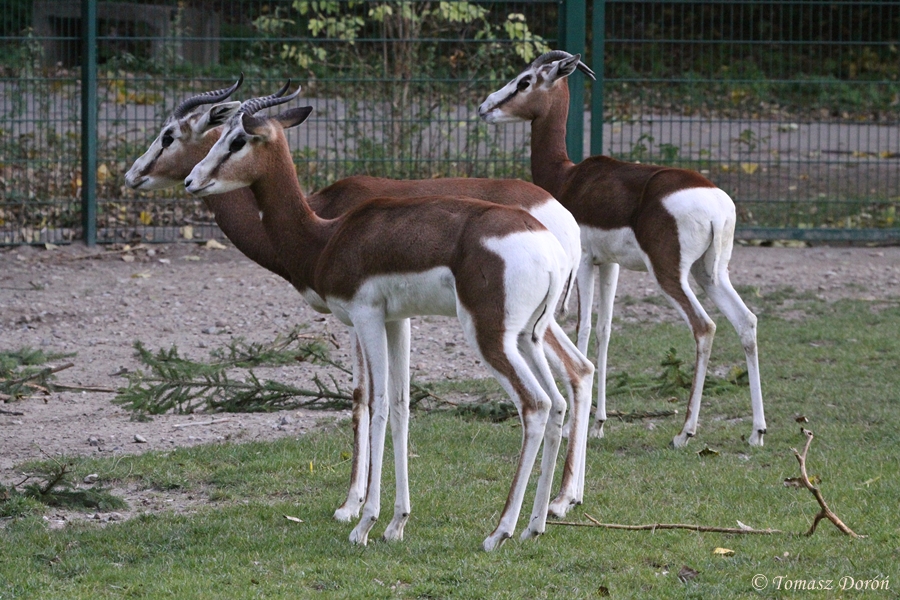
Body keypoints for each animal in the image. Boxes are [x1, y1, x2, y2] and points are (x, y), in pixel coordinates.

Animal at [126, 79, 594, 524]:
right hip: (530, 333)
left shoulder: (361, 317)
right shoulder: (397, 320)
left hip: (495, 334)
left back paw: (522, 519)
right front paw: (389, 516)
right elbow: (400, 404)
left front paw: (355, 509)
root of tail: (554, 228)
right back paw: (550, 509)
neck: (324, 232)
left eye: (171, 134)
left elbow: (366, 400)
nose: (135, 176)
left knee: (544, 397)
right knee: (571, 382)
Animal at [479, 50, 766, 450]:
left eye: (525, 81)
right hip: (710, 273)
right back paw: (756, 431)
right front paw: (599, 423)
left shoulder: (584, 261)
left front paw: (573, 427)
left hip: (670, 273)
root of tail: (717, 205)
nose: (484, 106)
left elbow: (583, 328)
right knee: (746, 321)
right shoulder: (609, 264)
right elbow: (605, 329)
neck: (567, 177)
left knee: (705, 326)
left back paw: (685, 432)